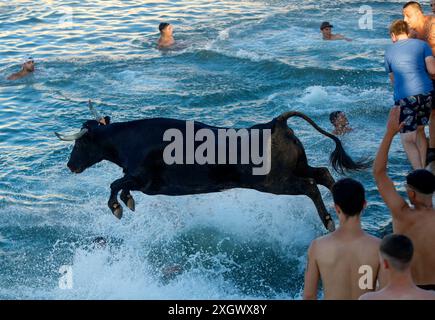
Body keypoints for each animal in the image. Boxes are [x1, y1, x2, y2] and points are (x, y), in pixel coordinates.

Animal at [54, 111, 368, 231]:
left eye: (80, 143)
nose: (70, 165)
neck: (128, 139)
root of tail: (276, 123)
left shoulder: (144, 179)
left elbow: (115, 184)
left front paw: (119, 207)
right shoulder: (144, 183)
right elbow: (121, 185)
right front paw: (127, 203)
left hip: (275, 182)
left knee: (309, 187)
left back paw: (328, 220)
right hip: (297, 166)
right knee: (323, 174)